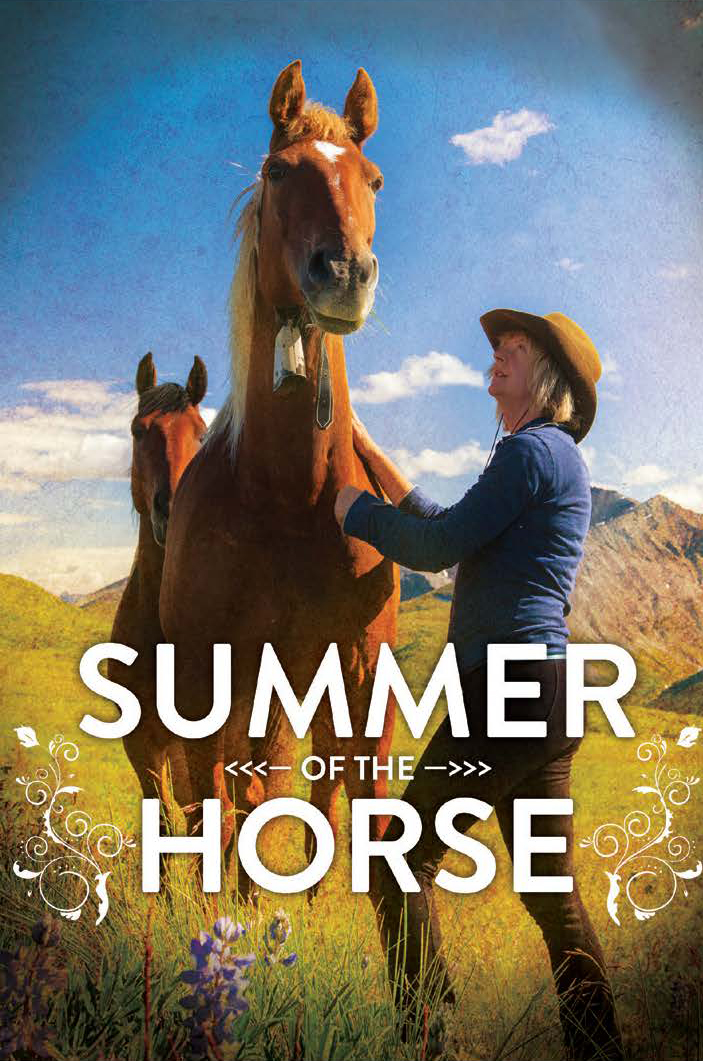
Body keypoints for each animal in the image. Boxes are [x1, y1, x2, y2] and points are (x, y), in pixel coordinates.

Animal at [159, 60, 399, 897]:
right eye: (276, 171)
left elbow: (363, 810)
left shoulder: (359, 677)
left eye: (373, 179)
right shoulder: (206, 684)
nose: (346, 274)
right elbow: (219, 807)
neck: (290, 499)